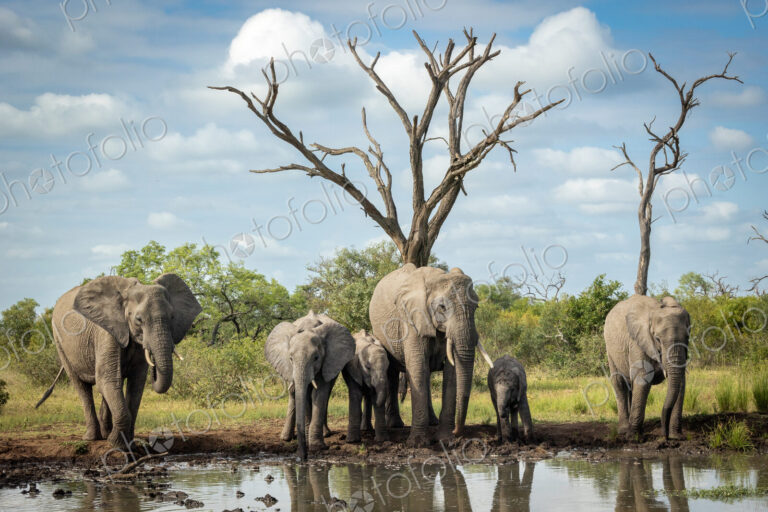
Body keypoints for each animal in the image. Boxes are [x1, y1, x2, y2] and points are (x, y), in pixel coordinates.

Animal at [36, 274, 201, 450]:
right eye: (138, 319)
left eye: (172, 317)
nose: (154, 365)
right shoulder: (106, 333)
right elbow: (106, 379)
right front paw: (117, 444)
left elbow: (136, 383)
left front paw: (128, 442)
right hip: (59, 342)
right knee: (82, 386)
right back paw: (91, 437)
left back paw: (105, 434)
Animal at [266, 311, 355, 460]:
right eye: (290, 358)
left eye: (316, 358)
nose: (303, 458)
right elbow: (305, 395)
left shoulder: (328, 360)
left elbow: (319, 394)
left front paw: (317, 446)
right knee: (293, 393)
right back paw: (286, 438)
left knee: (326, 394)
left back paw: (325, 434)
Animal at [369, 264, 494, 446]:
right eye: (442, 307)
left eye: (476, 307)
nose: (457, 432)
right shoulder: (411, 319)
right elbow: (418, 368)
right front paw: (418, 444)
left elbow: (452, 373)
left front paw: (446, 441)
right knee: (392, 372)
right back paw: (396, 425)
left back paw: (431, 422)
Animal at [604, 295, 690, 440]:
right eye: (657, 339)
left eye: (687, 338)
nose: (665, 436)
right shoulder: (637, 341)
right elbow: (643, 378)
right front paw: (633, 439)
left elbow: (681, 382)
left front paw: (677, 437)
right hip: (610, 348)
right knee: (619, 383)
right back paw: (623, 430)